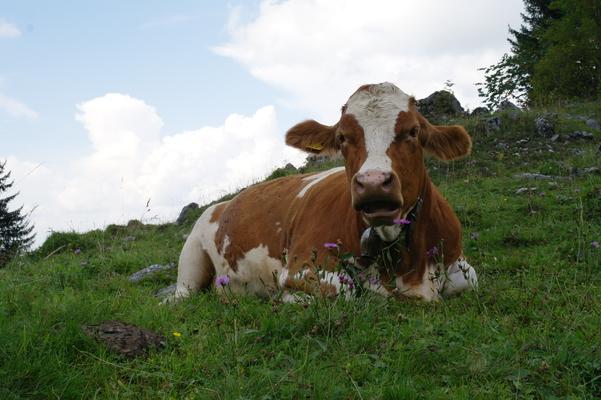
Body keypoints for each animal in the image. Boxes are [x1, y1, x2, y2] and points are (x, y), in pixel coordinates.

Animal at [172, 81, 478, 302]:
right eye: (342, 137)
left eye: (413, 131)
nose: (373, 183)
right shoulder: (301, 267)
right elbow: (345, 290)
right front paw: (287, 298)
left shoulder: (459, 263)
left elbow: (469, 280)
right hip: (191, 253)